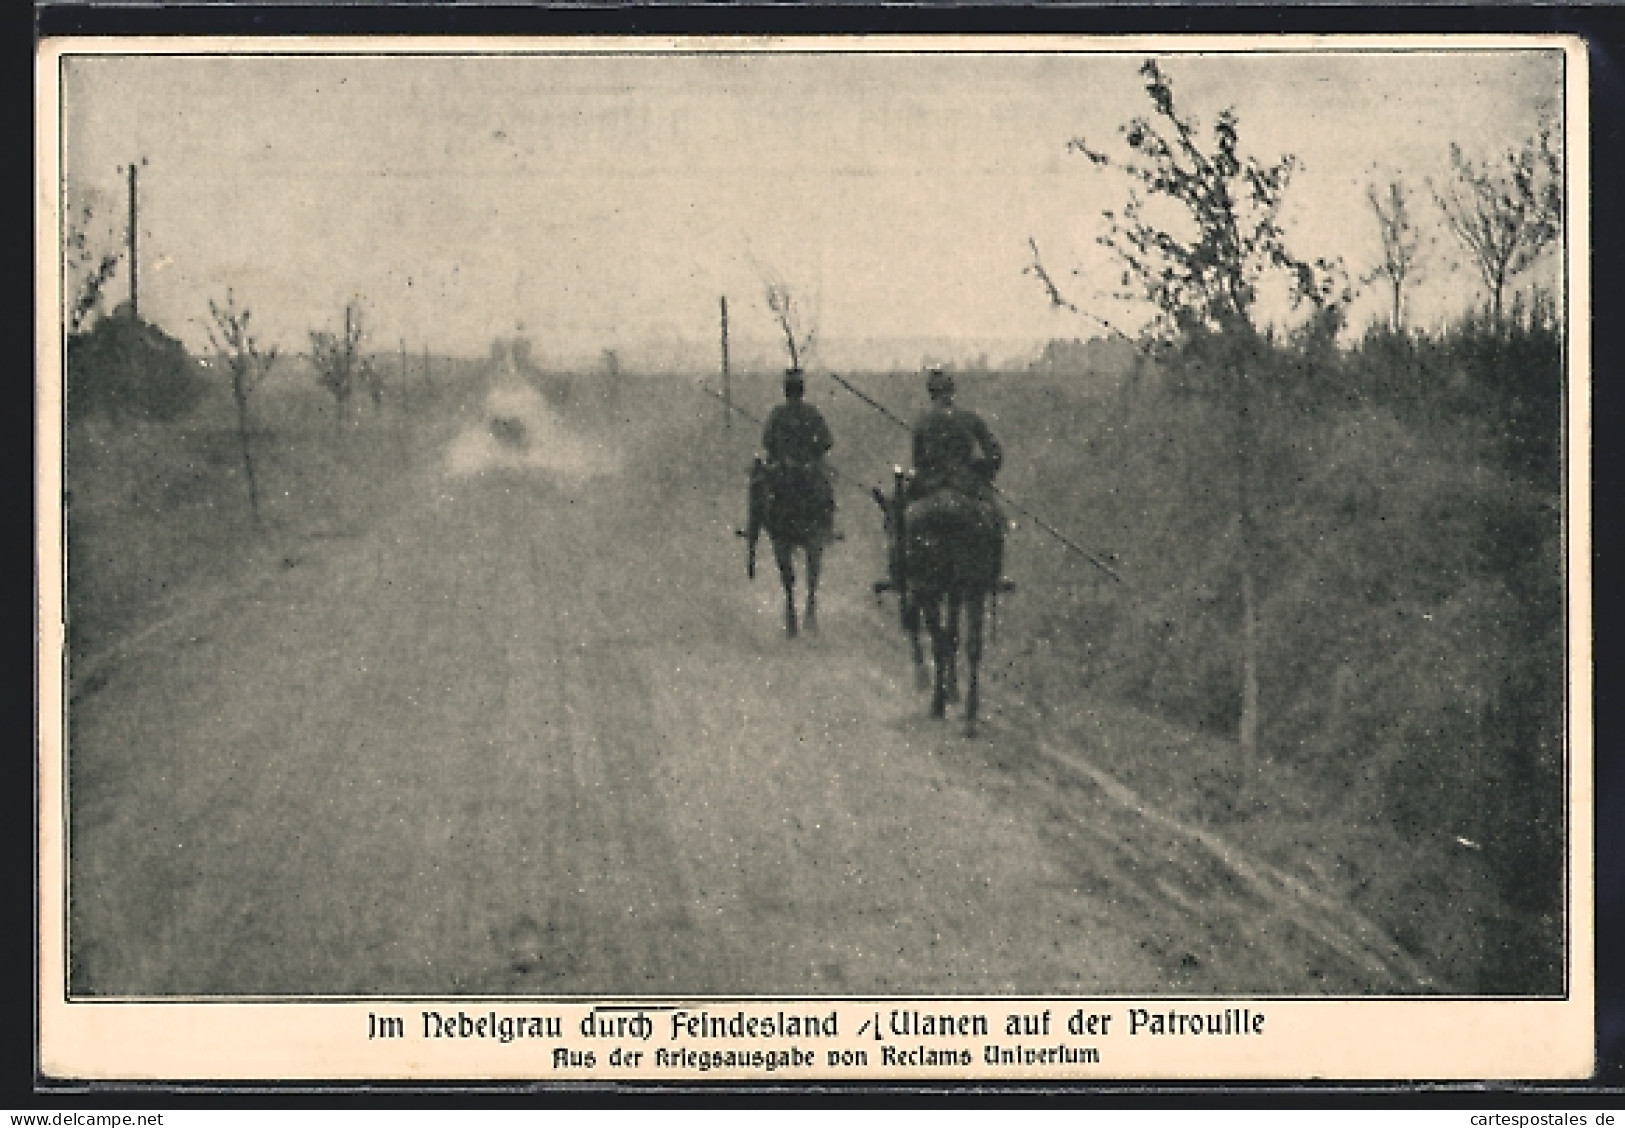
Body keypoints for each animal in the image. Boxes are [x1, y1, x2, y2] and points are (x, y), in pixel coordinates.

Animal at [744, 455, 832, 640]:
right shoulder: (781, 542)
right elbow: (789, 579)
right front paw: (792, 625)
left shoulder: (814, 540)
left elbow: (812, 577)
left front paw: (810, 624)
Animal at [871, 464, 1007, 737]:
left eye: (888, 522)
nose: (892, 565)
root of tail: (952, 510)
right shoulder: (955, 591)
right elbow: (952, 635)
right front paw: (952, 689)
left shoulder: (919, 588)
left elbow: (918, 625)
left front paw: (925, 679)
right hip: (974, 588)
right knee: (973, 644)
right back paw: (969, 716)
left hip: (930, 586)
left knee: (936, 638)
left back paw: (937, 704)